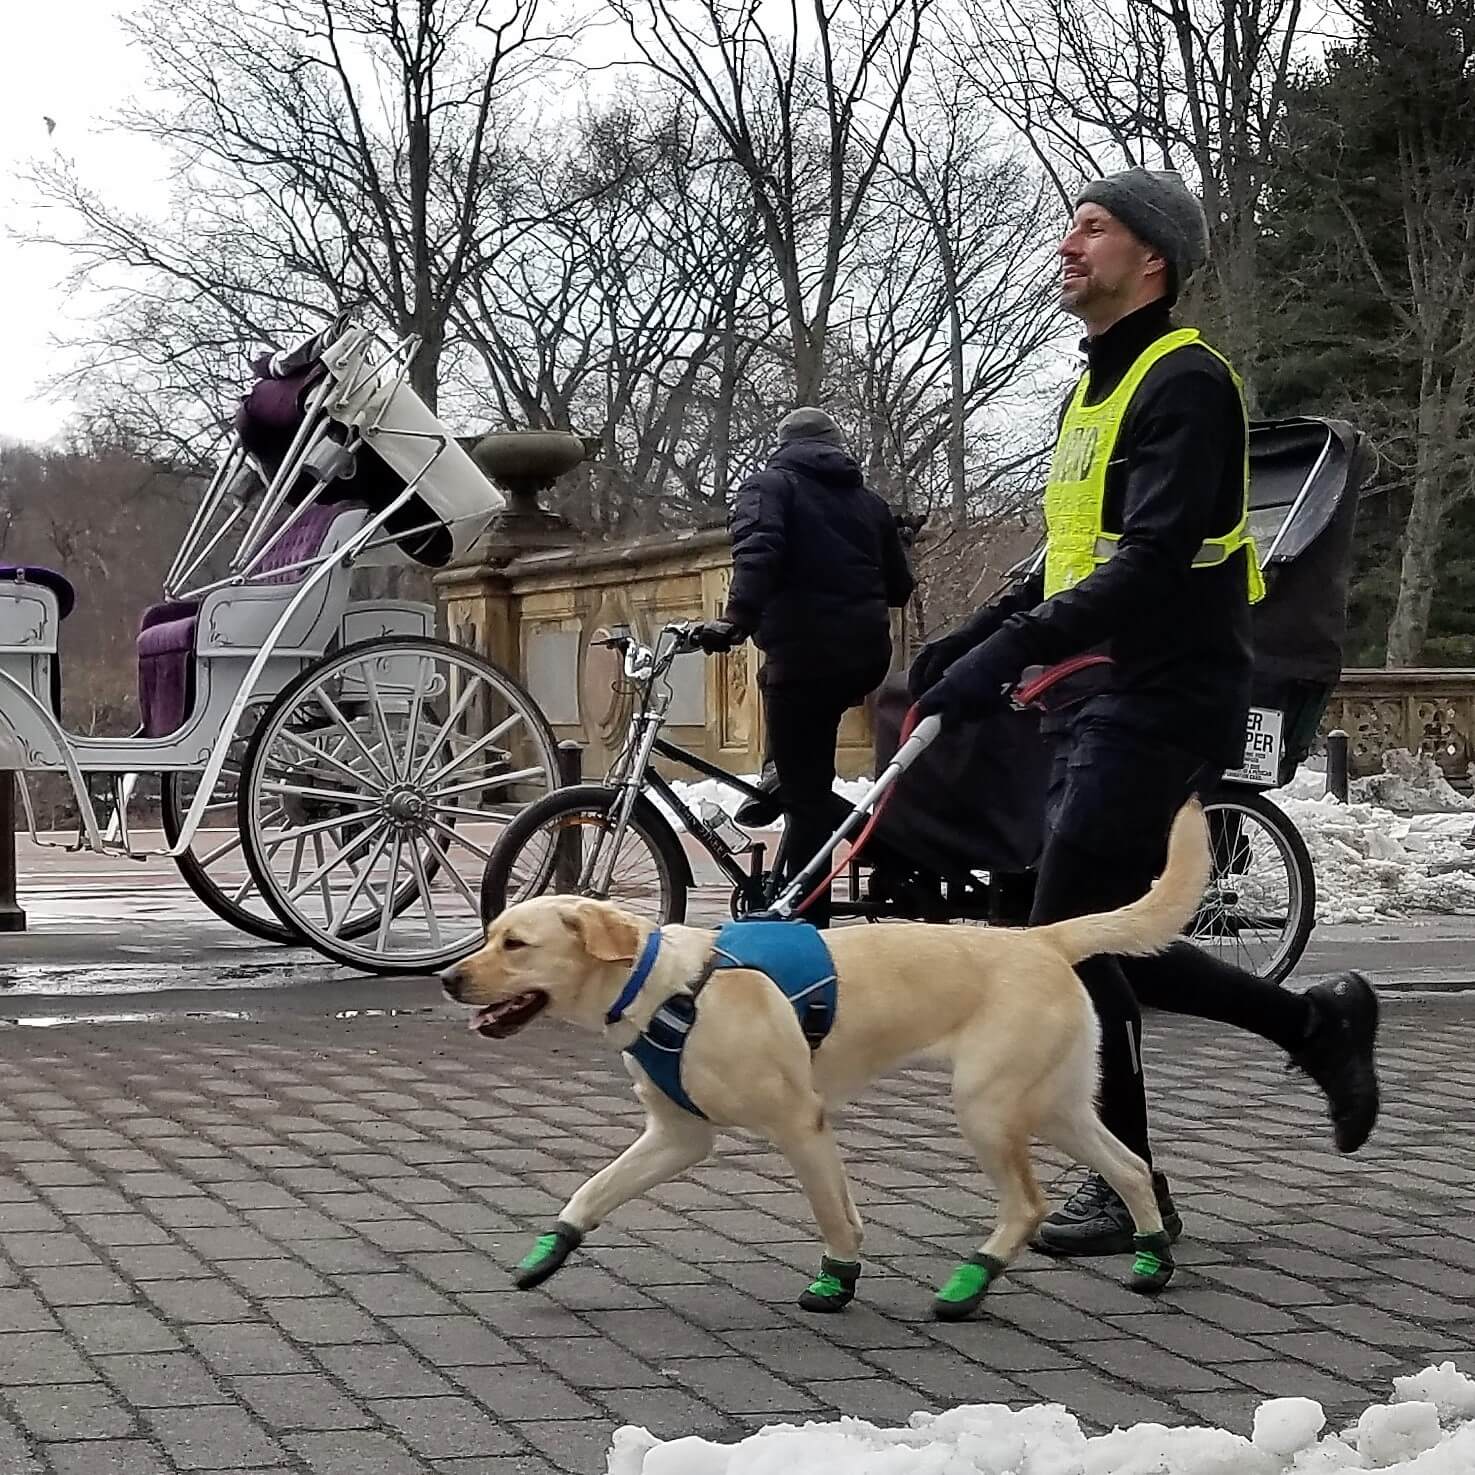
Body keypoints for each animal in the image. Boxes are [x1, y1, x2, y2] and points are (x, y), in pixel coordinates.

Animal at [436, 808, 1209, 1327]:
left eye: (515, 943)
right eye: (489, 934)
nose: (447, 978)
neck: (666, 991)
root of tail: (1041, 938)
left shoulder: (798, 1124)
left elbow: (832, 1215)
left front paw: (837, 1281)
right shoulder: (678, 1135)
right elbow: (593, 1190)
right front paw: (550, 1250)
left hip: (988, 1108)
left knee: (1028, 1203)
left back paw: (971, 1282)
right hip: (1056, 1104)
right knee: (1131, 1167)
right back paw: (1150, 1262)